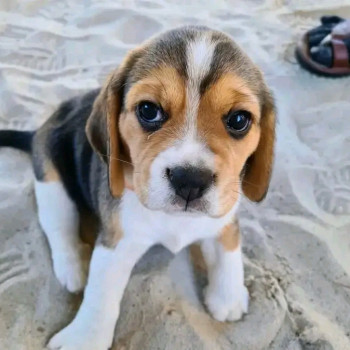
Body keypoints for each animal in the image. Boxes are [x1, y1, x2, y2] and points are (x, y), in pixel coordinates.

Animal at [0, 25, 274, 350]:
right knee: (58, 227)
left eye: (239, 119)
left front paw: (228, 297)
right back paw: (72, 269)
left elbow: (230, 250)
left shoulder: (225, 215)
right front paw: (84, 337)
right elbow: (101, 293)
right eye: (148, 110)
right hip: (51, 182)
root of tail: (36, 132)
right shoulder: (116, 242)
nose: (190, 180)